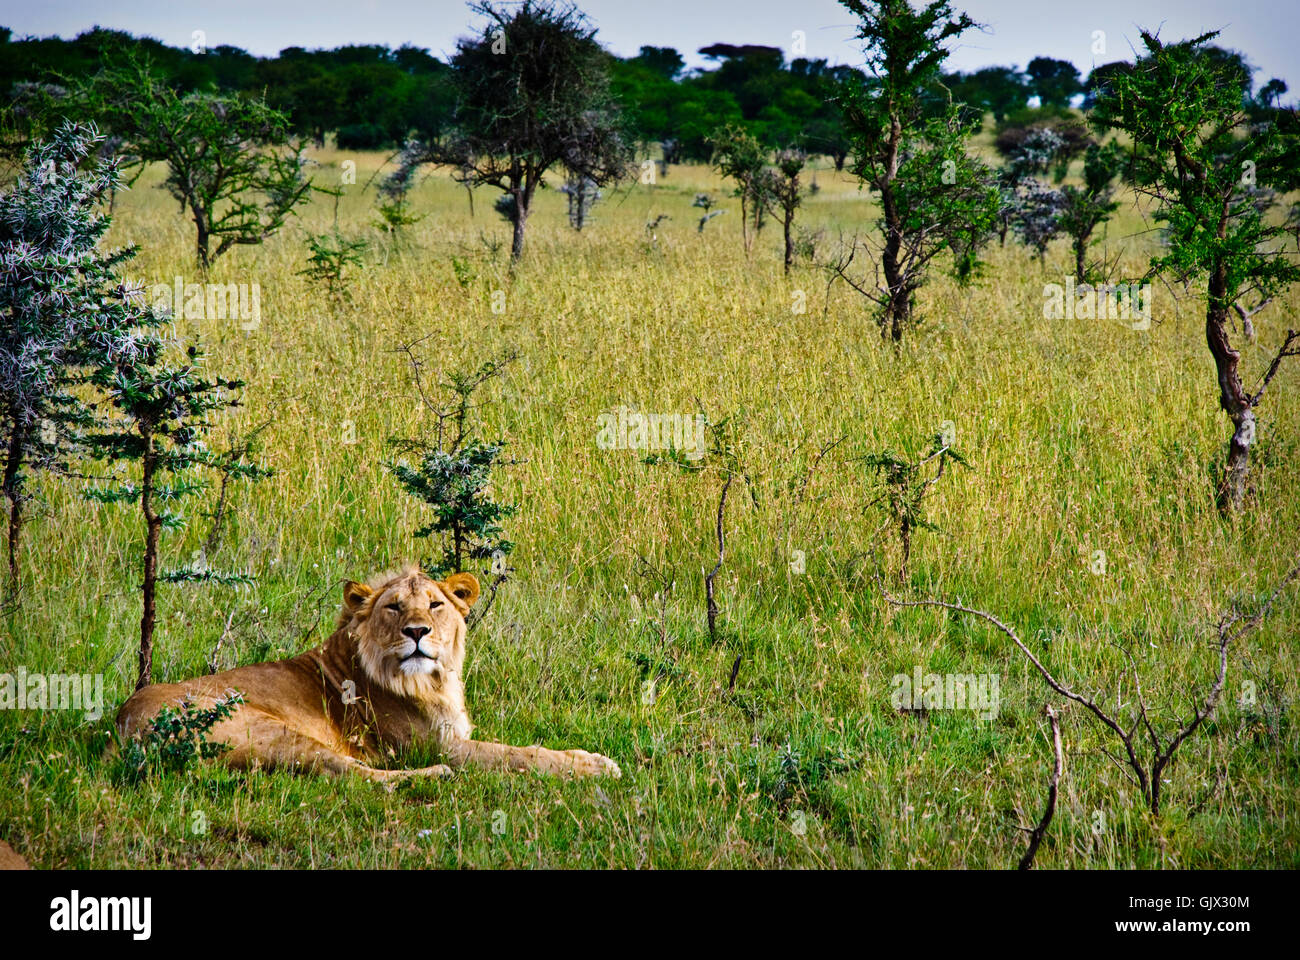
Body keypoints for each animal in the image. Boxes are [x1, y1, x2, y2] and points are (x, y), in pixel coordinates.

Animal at [114, 567, 621, 780]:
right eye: (394, 606)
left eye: (435, 604)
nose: (416, 631)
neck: (432, 681)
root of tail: (121, 728)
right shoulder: (440, 745)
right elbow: (517, 755)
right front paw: (596, 766)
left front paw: (586, 756)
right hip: (269, 730)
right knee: (355, 776)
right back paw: (432, 776)